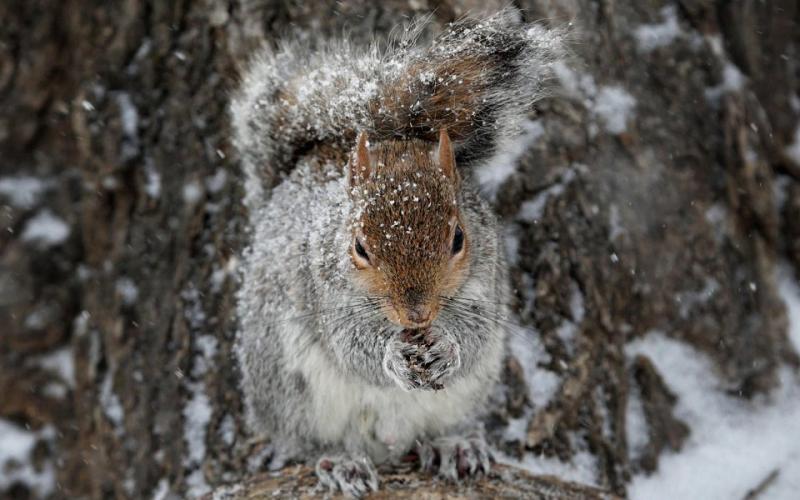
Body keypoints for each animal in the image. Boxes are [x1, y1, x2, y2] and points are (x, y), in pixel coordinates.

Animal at [230, 7, 564, 496]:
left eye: (458, 238)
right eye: (359, 246)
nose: (417, 314)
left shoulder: (486, 279)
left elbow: (475, 331)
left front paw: (446, 347)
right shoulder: (326, 295)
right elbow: (353, 346)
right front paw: (391, 354)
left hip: (464, 397)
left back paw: (453, 445)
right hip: (289, 389)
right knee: (304, 441)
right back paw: (338, 461)